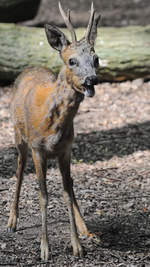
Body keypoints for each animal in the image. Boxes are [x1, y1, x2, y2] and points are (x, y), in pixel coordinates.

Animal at [7, 2, 101, 262]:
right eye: (71, 61)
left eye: (96, 58)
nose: (91, 80)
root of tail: (30, 67)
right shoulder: (38, 149)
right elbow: (43, 195)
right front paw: (44, 249)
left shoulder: (66, 150)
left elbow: (67, 192)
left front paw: (78, 245)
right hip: (19, 137)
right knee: (19, 171)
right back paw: (11, 221)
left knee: (69, 184)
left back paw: (85, 228)